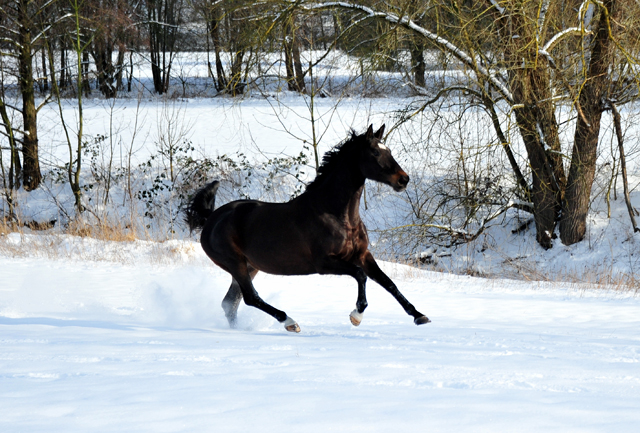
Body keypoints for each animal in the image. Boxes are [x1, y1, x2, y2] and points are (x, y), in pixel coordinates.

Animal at [188, 123, 432, 332]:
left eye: (388, 149)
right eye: (374, 153)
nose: (403, 180)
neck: (337, 215)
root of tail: (211, 218)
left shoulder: (362, 255)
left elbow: (388, 283)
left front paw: (419, 316)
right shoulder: (324, 263)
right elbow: (360, 276)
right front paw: (356, 315)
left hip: (249, 266)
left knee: (230, 302)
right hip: (235, 263)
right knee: (249, 298)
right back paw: (289, 322)